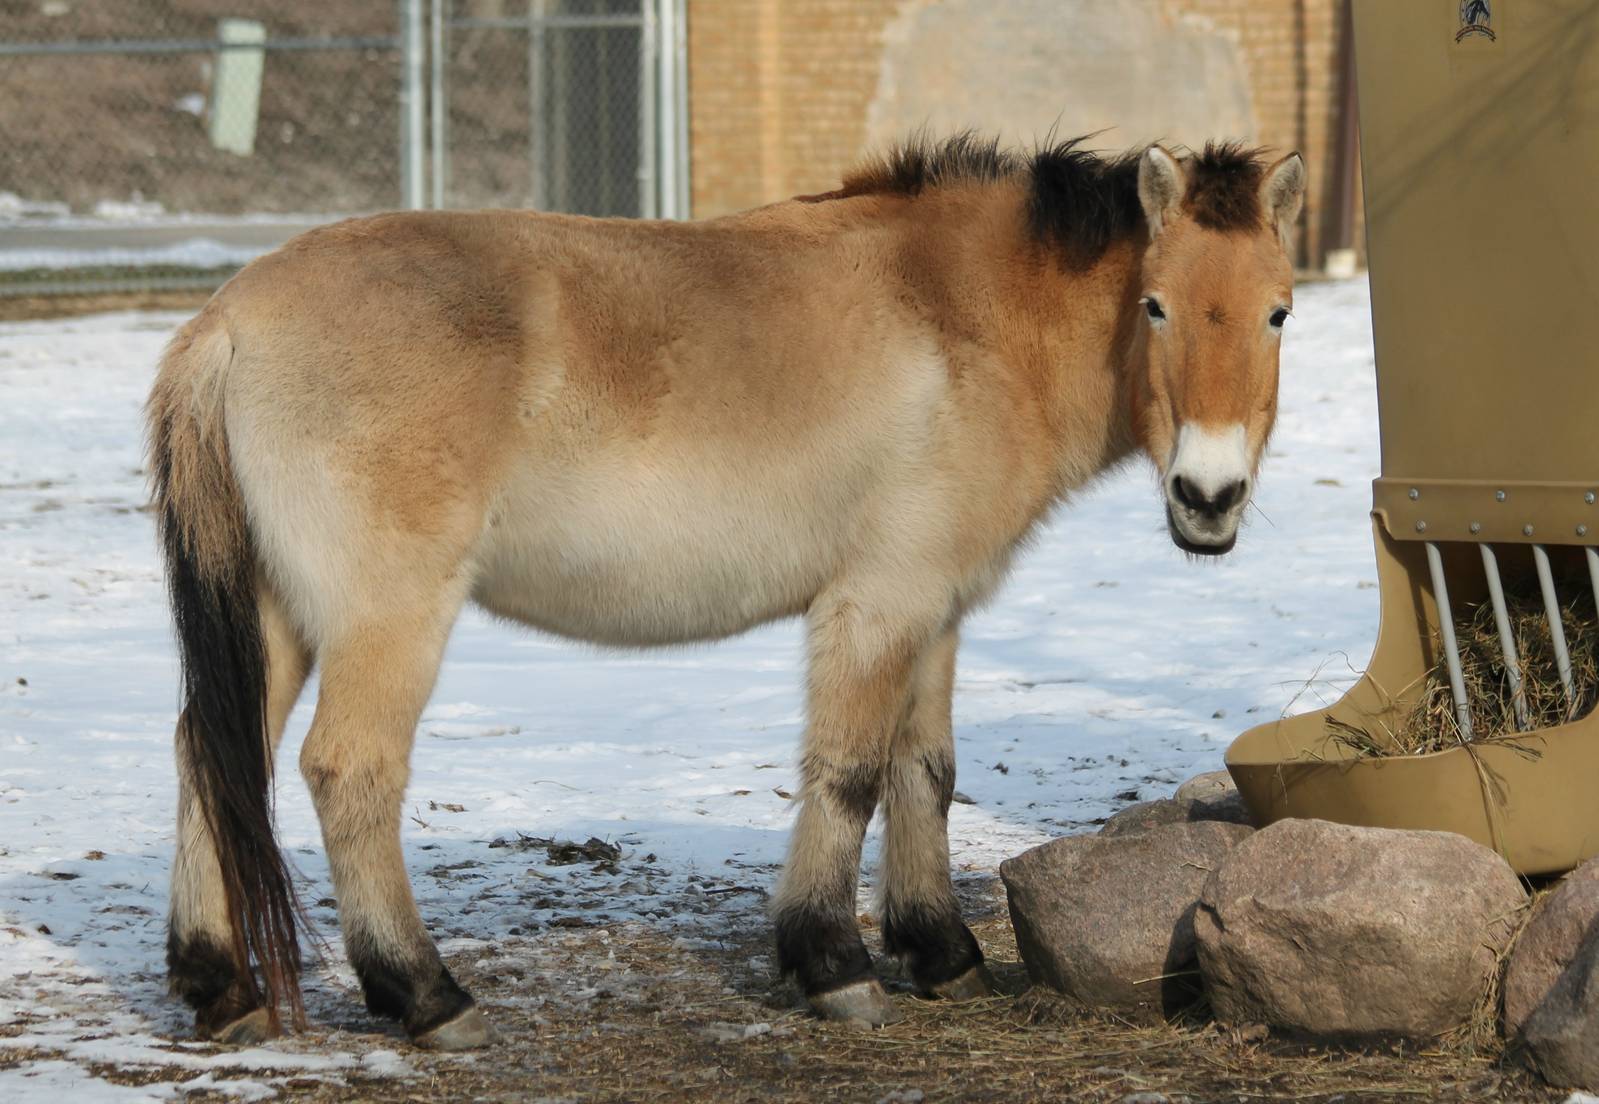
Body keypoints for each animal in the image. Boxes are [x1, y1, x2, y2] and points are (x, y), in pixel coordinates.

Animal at [147, 132, 1304, 1049]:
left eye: (1280, 314)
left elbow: (923, 770)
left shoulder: (936, 607)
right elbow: (849, 774)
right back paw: (425, 995)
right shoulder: (878, 602)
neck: (960, 315)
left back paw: (221, 988)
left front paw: (940, 952)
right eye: (1154, 305)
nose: (1208, 498)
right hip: (385, 619)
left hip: (279, 618)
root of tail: (227, 322)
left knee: (212, 749)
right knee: (349, 770)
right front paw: (834, 966)